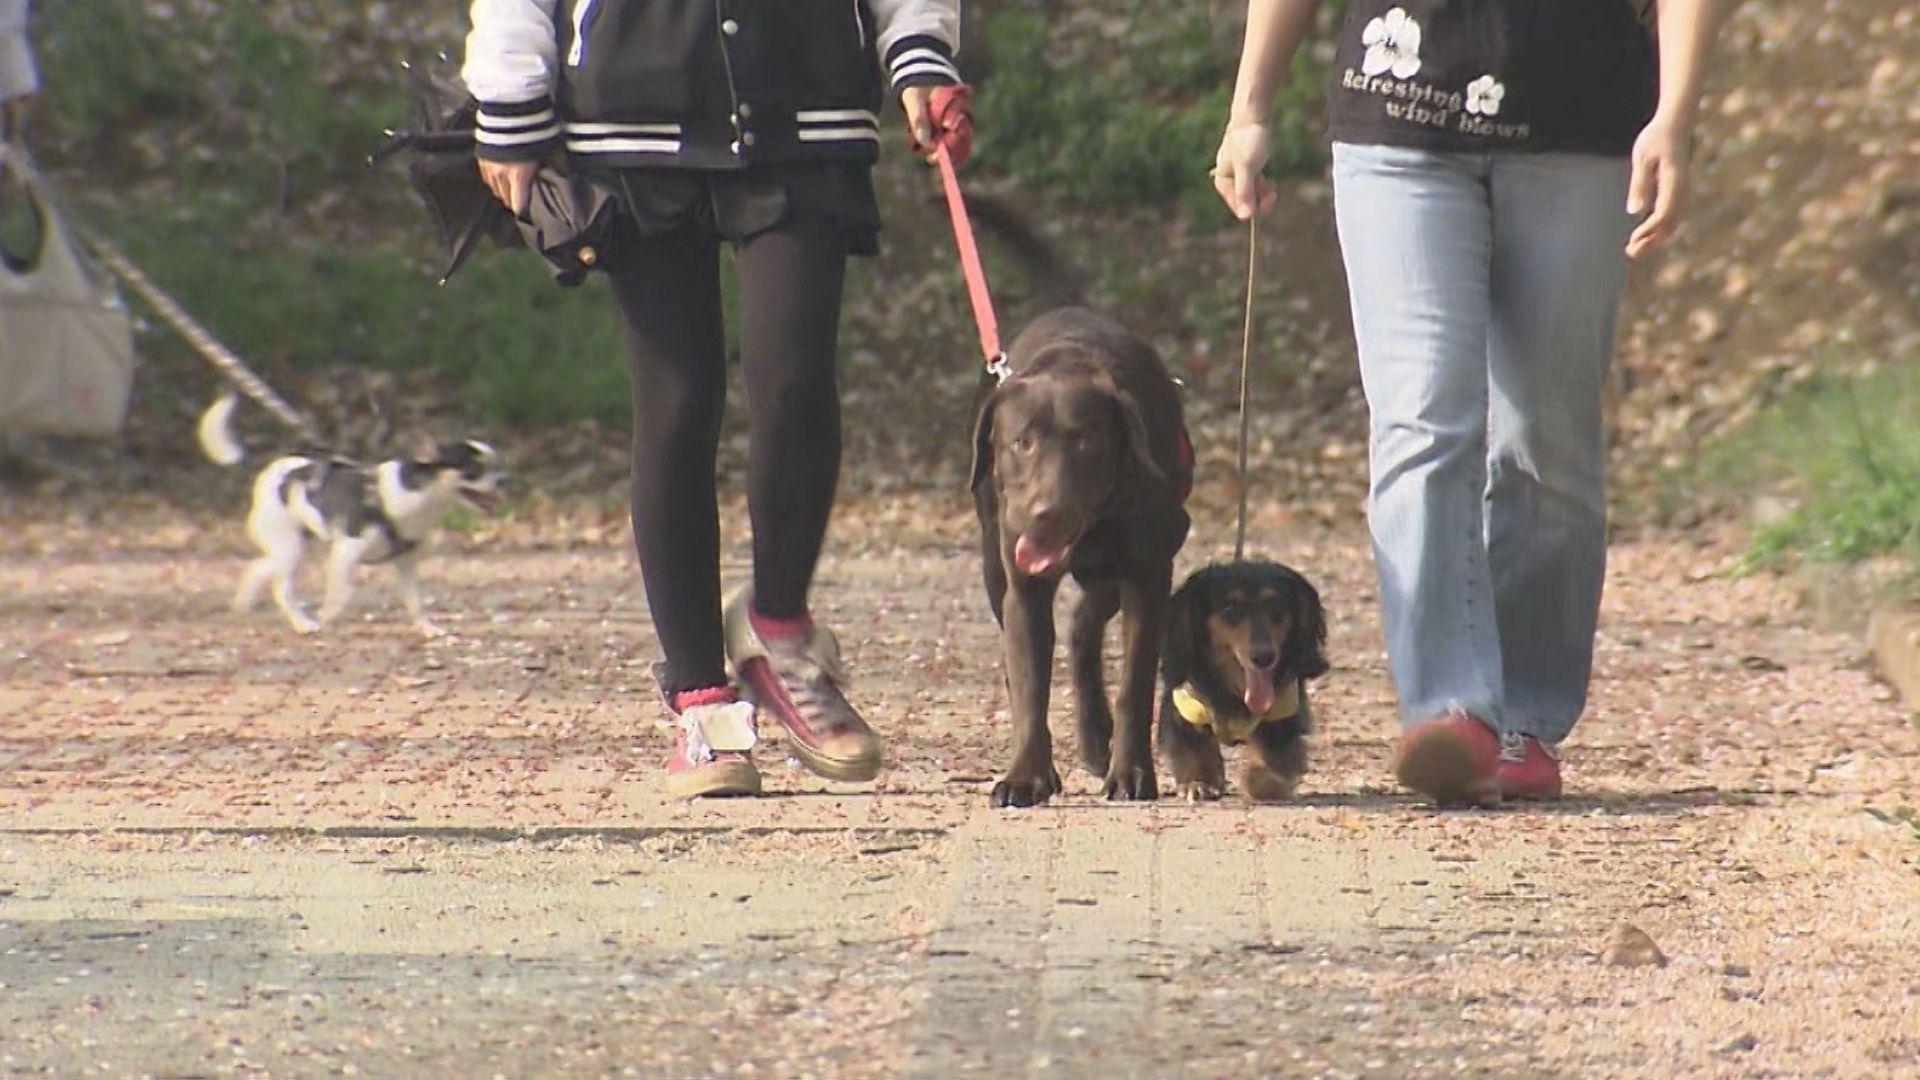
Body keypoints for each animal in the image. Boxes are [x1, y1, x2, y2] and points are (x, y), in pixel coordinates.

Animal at [197, 393, 503, 630]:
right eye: (475, 469)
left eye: (494, 463)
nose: (502, 478)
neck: (415, 494)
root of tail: (268, 473)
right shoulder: (346, 551)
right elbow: (343, 591)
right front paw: (327, 615)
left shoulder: (405, 562)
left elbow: (414, 599)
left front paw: (426, 628)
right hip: (290, 547)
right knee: (281, 588)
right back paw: (303, 623)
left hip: (292, 545)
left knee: (258, 568)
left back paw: (245, 602)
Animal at [967, 307, 1190, 803]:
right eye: (1022, 442)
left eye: (1087, 441)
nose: (1045, 513)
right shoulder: (1023, 590)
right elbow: (1030, 684)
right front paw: (1026, 776)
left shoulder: (1148, 576)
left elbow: (1134, 684)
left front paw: (1131, 773)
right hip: (995, 572)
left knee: (1085, 626)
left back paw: (1096, 737)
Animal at [1152, 557, 1336, 795]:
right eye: (1230, 608)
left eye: (1275, 605)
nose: (1264, 657)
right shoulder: (1184, 707)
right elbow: (1192, 746)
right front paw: (1198, 782)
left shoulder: (1282, 713)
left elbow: (1275, 756)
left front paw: (1263, 781)